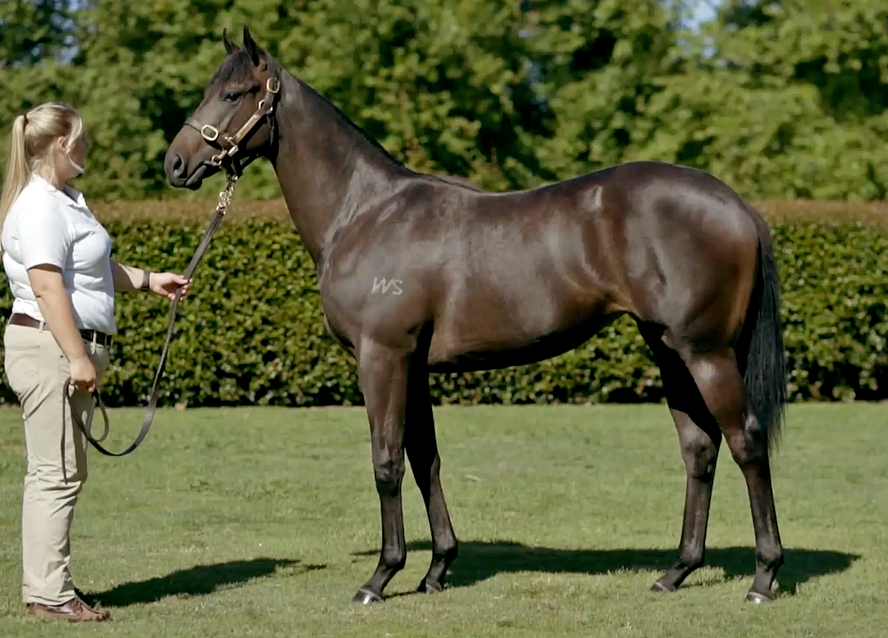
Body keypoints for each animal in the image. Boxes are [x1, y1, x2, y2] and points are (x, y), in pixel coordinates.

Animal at [164, 27, 787, 606]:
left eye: (234, 93)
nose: (175, 162)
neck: (363, 212)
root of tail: (735, 204)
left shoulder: (382, 358)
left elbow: (386, 462)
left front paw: (380, 577)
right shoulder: (412, 366)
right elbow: (425, 460)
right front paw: (436, 569)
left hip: (705, 353)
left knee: (746, 442)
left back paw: (763, 576)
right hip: (668, 349)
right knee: (699, 448)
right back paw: (676, 572)